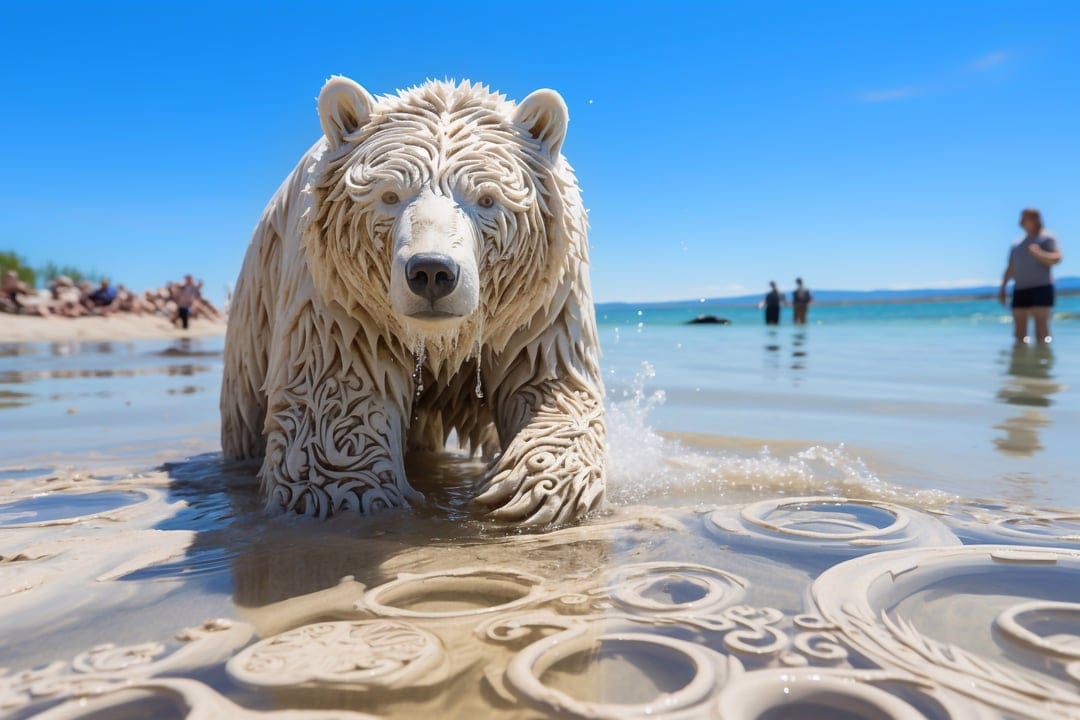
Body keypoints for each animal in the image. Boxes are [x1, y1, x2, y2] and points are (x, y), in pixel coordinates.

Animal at [220, 77, 605, 527]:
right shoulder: (339, 304)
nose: (432, 272)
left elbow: (551, 385)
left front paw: (526, 490)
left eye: (487, 199)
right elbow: (332, 416)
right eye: (389, 195)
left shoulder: (540, 307)